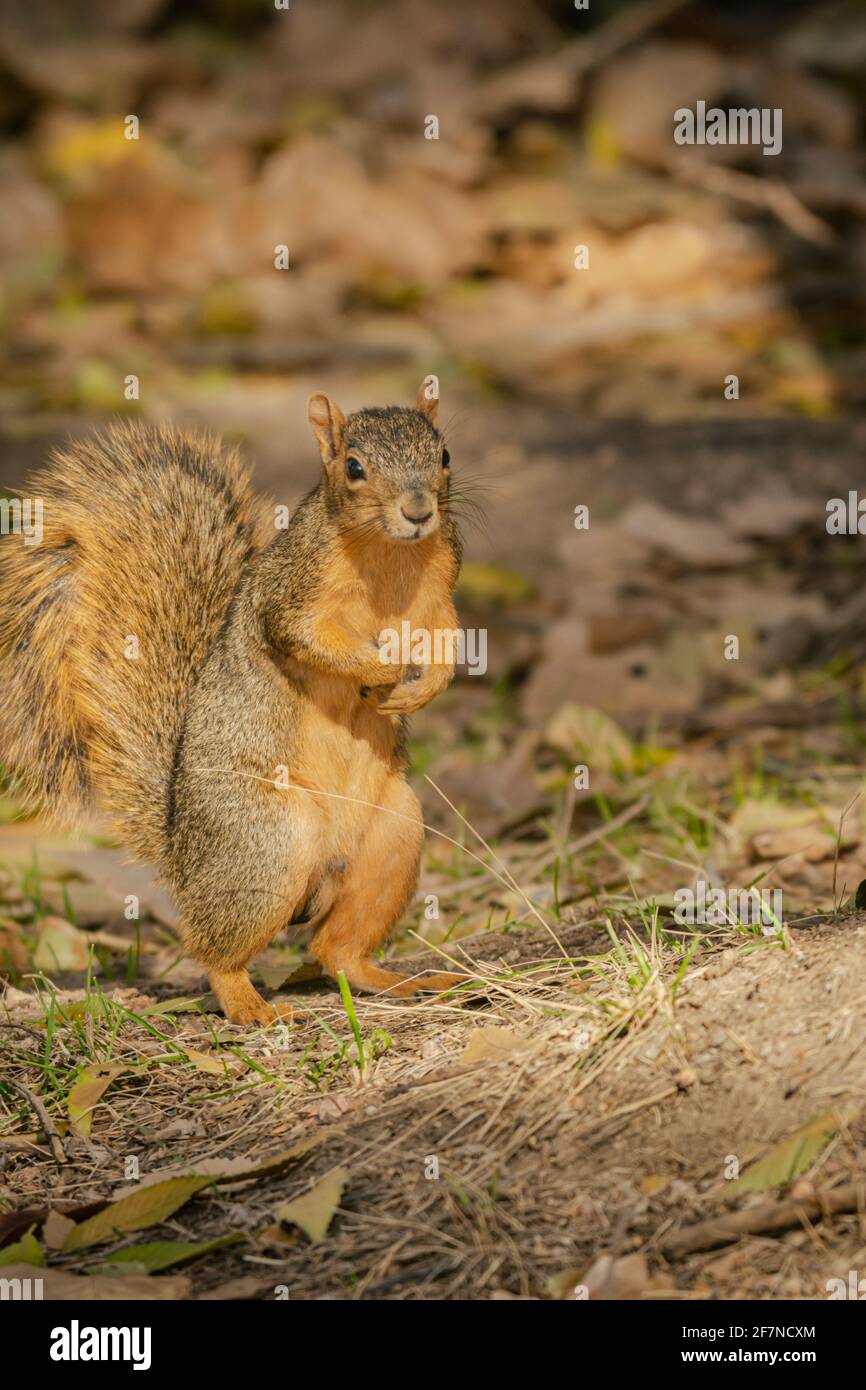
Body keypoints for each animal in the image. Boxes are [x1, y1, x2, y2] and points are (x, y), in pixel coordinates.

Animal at [0, 386, 469, 1028]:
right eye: (354, 467)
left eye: (443, 454)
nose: (419, 511)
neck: (387, 555)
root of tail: (182, 851)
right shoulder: (289, 593)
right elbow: (308, 637)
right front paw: (383, 671)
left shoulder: (441, 584)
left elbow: (448, 639)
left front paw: (422, 686)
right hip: (265, 840)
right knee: (217, 953)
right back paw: (252, 1007)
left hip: (393, 836)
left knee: (338, 950)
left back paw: (398, 981)